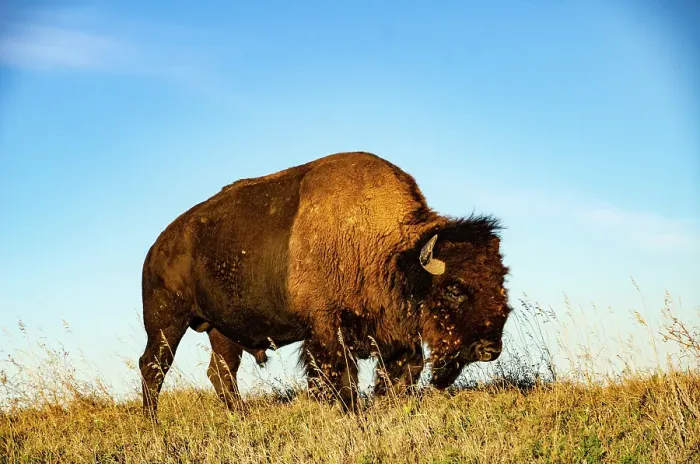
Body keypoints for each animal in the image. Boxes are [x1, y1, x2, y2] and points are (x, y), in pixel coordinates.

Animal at [139, 151, 511, 416]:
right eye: (454, 289)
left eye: (500, 282)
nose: (489, 349)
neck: (389, 251)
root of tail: (157, 247)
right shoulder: (326, 329)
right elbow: (339, 375)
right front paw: (351, 412)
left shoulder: (393, 334)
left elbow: (403, 370)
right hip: (166, 323)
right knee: (153, 367)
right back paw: (153, 421)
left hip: (223, 331)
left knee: (221, 372)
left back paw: (240, 416)